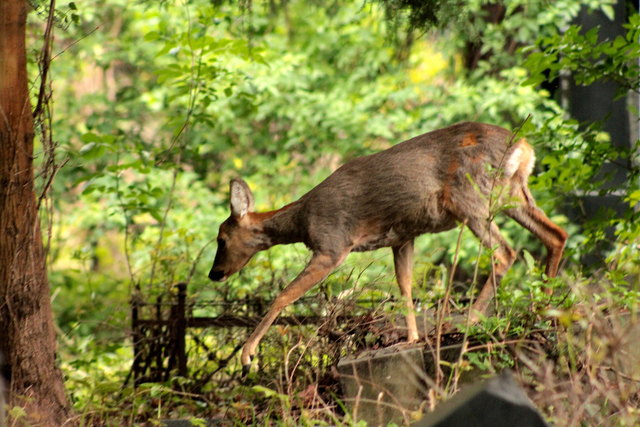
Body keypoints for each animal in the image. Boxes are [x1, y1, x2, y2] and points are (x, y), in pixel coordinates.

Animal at [208, 121, 568, 374]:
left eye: (221, 238)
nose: (214, 274)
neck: (302, 221)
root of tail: (523, 146)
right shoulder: (402, 238)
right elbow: (405, 286)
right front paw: (411, 339)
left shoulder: (332, 244)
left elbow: (284, 295)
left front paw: (247, 356)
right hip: (512, 193)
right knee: (555, 234)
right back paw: (543, 311)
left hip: (471, 195)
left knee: (505, 251)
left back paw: (468, 321)